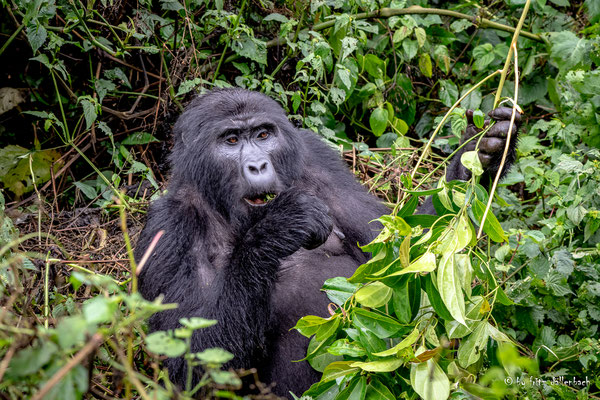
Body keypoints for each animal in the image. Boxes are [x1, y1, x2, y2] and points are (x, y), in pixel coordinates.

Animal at [137, 89, 520, 398]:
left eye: (263, 134)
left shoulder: (316, 160)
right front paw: (281, 226)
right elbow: (194, 368)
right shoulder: (166, 233)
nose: (258, 164)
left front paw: (482, 152)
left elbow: (399, 260)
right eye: (230, 141)